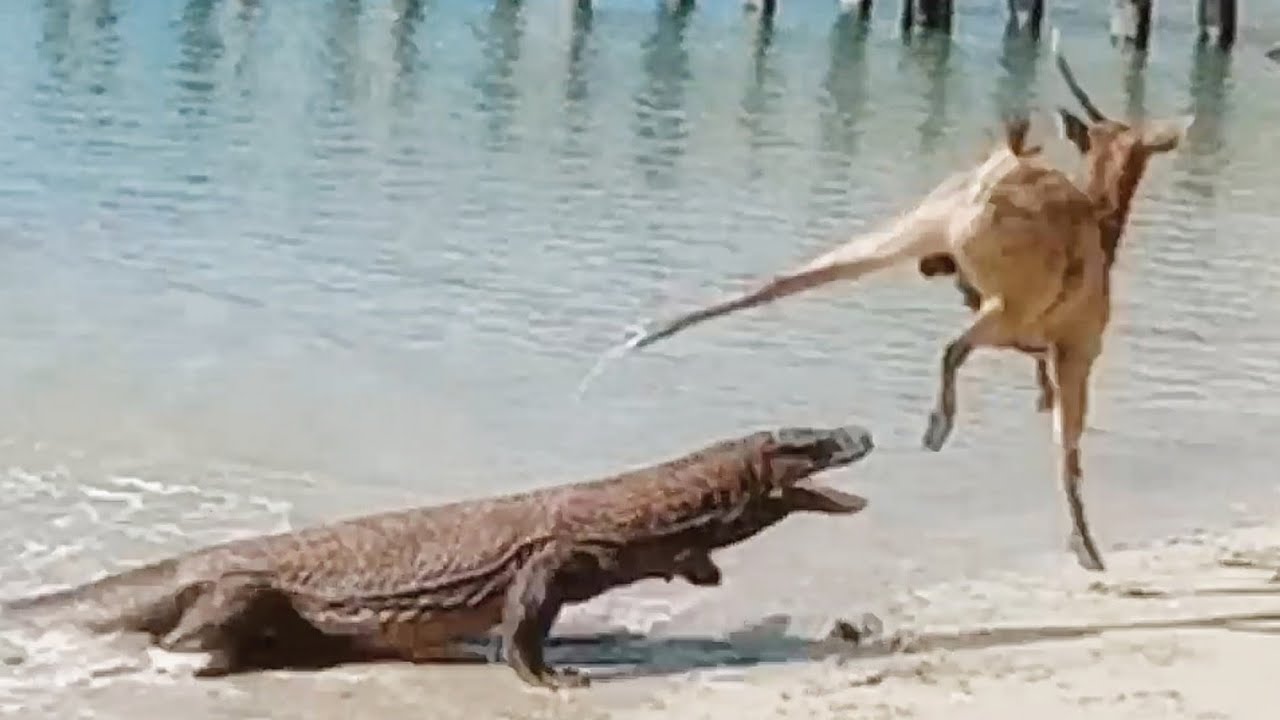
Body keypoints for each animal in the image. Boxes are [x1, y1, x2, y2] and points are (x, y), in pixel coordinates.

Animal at [613, 30, 1191, 572]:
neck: (1104, 225)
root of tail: (993, 179)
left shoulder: (1031, 332)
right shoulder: (1079, 344)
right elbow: (1068, 449)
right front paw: (1086, 548)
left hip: (918, 226)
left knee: (783, 281)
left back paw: (639, 336)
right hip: (1008, 299)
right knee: (953, 347)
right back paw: (937, 428)